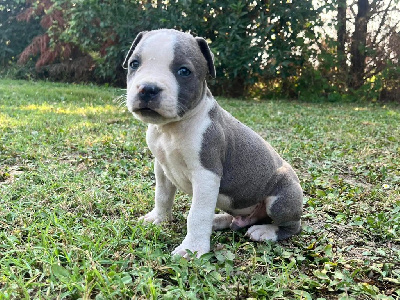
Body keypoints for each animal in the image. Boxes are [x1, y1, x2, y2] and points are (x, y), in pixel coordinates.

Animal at [123, 28, 302, 258]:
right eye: (134, 63)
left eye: (184, 71)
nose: (148, 88)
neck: (171, 129)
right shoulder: (161, 167)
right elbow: (162, 195)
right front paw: (158, 218)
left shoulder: (206, 175)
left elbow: (197, 214)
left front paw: (191, 249)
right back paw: (220, 220)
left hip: (281, 199)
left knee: (292, 226)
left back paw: (266, 231)